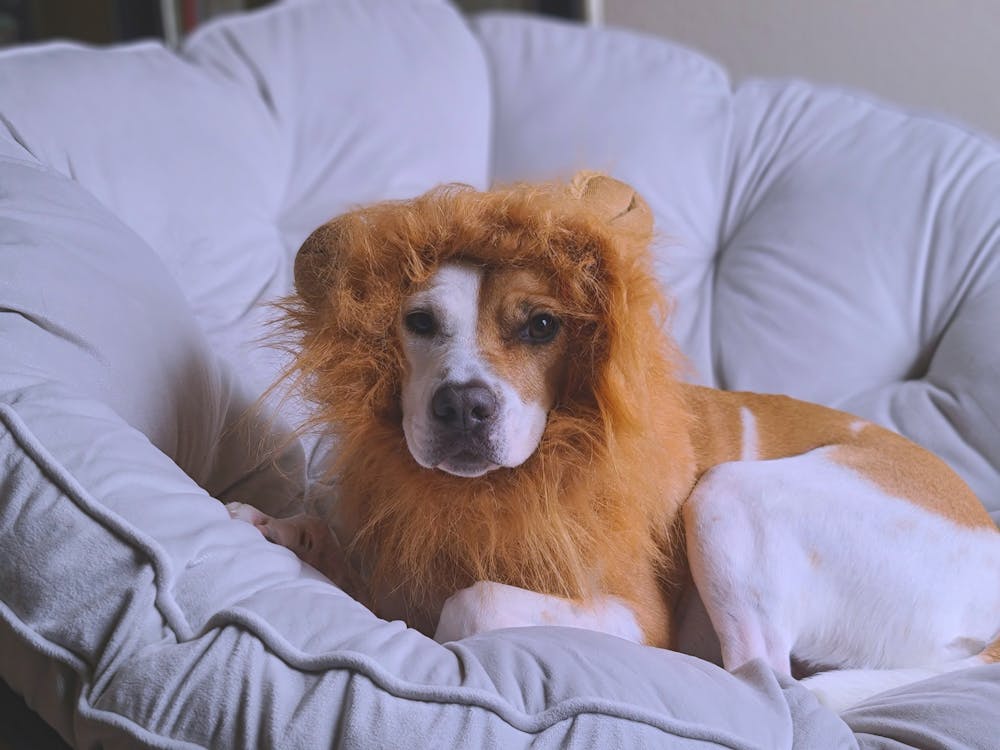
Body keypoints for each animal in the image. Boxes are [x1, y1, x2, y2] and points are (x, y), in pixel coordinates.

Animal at [229, 173, 1000, 712]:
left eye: (542, 326)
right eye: (419, 322)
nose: (463, 407)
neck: (483, 498)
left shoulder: (629, 612)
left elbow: (468, 603)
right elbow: (342, 555)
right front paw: (282, 529)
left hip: (727, 497)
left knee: (761, 675)